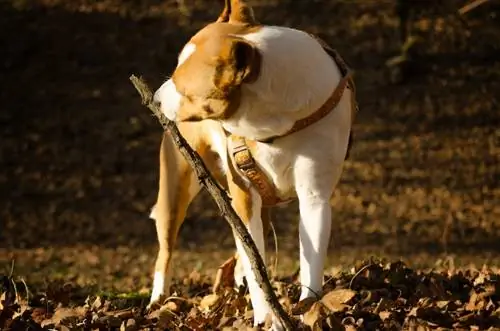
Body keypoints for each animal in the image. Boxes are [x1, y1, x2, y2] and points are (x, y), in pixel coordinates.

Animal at [147, 0, 356, 330]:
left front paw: (308, 308)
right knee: (167, 248)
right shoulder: (243, 194)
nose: (154, 99)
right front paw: (266, 315)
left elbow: (309, 259)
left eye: (186, 91)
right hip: (176, 185)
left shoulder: (314, 199)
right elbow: (255, 262)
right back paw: (158, 299)